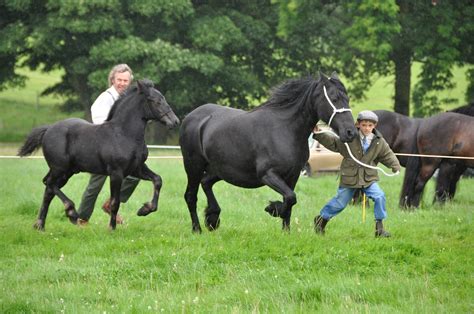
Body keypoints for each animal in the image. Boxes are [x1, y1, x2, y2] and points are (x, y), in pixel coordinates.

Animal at [18, 79, 180, 229]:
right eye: (155, 101)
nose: (175, 121)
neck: (124, 134)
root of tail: (49, 129)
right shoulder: (116, 173)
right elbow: (115, 202)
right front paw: (112, 228)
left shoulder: (137, 168)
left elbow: (158, 180)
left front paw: (144, 209)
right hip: (59, 168)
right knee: (49, 184)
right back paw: (71, 213)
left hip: (67, 172)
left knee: (48, 190)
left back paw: (40, 225)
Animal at [180, 72, 358, 232]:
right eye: (334, 98)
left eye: (347, 99)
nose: (351, 132)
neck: (285, 130)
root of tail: (190, 117)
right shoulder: (268, 175)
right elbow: (290, 198)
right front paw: (273, 209)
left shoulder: (293, 175)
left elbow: (290, 201)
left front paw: (285, 232)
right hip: (194, 166)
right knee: (190, 196)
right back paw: (197, 229)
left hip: (220, 169)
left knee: (206, 182)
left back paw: (212, 218)